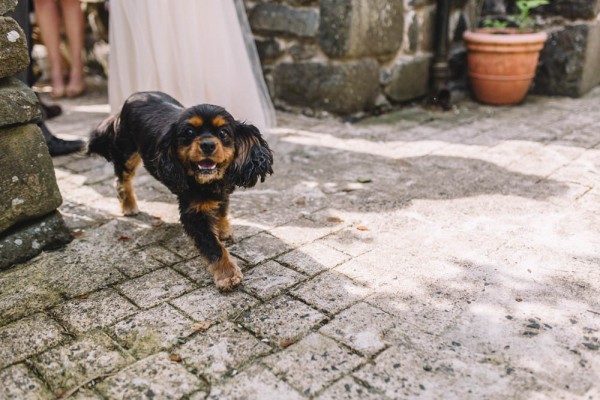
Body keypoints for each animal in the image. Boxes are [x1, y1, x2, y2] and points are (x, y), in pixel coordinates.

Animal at [87, 91, 274, 290]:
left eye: (223, 133)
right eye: (189, 132)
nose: (208, 145)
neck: (209, 181)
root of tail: (135, 96)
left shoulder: (223, 190)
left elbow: (222, 208)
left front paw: (222, 229)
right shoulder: (193, 214)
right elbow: (213, 247)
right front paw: (227, 274)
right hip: (127, 153)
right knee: (122, 181)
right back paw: (129, 206)